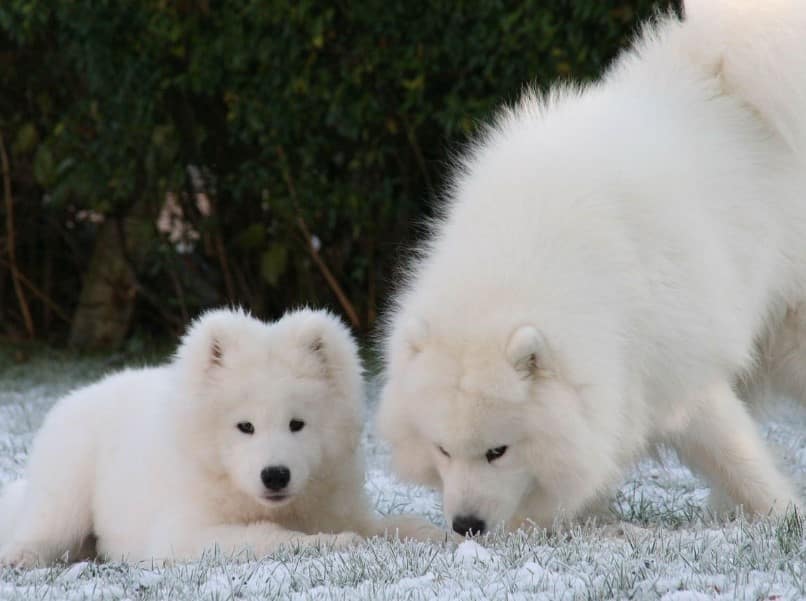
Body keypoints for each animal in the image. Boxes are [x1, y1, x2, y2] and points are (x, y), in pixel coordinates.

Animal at [0, 308, 442, 564]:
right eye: (244, 426)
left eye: (297, 424)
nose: (275, 475)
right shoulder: (183, 533)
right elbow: (269, 536)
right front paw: (334, 544)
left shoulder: (339, 505)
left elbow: (393, 524)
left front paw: (437, 536)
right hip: (68, 487)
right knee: (44, 528)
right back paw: (22, 558)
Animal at [378, 0, 806, 536]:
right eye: (443, 450)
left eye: (497, 451)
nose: (466, 526)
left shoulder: (674, 375)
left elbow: (734, 456)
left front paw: (783, 514)